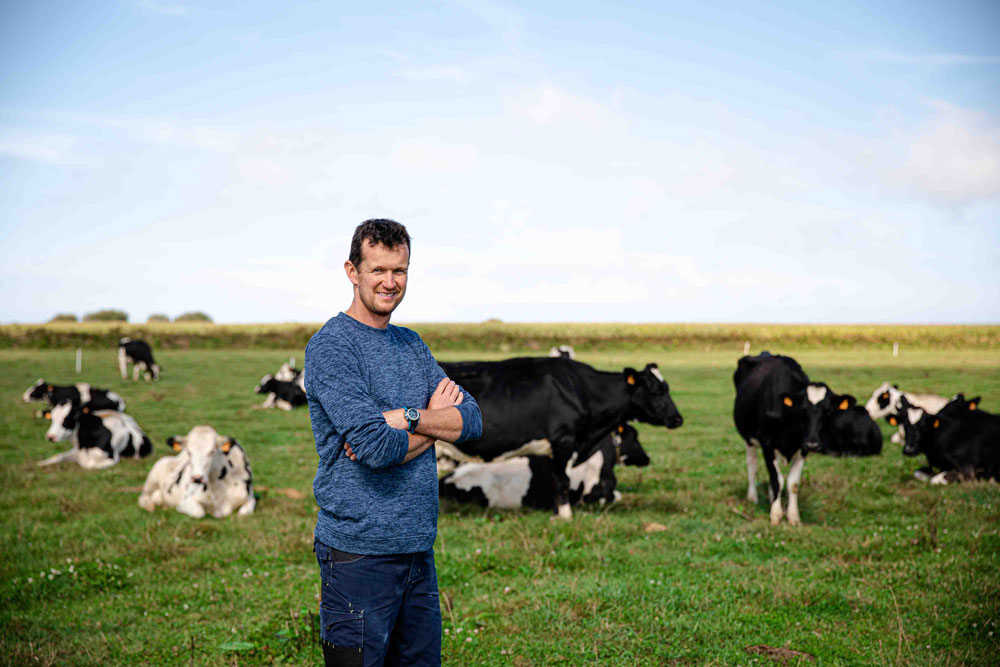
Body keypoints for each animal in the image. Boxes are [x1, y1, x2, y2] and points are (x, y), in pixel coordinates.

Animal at [736, 352, 884, 528]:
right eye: (802, 410)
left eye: (828, 412)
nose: (813, 443)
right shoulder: (767, 444)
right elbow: (777, 480)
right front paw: (776, 515)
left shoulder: (802, 447)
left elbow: (792, 483)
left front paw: (793, 516)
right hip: (748, 439)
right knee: (752, 466)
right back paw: (752, 497)